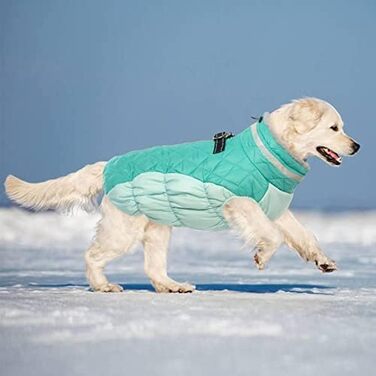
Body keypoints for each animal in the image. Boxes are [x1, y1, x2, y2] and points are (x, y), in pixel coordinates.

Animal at [4, 98, 360, 292]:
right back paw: (103, 285)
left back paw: (173, 287)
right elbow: (271, 235)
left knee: (153, 269)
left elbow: (303, 234)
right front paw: (261, 256)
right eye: (334, 128)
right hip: (124, 229)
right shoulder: (239, 202)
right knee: (92, 255)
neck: (272, 150)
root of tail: (109, 165)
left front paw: (323, 261)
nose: (357, 146)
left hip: (158, 229)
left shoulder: (274, 207)